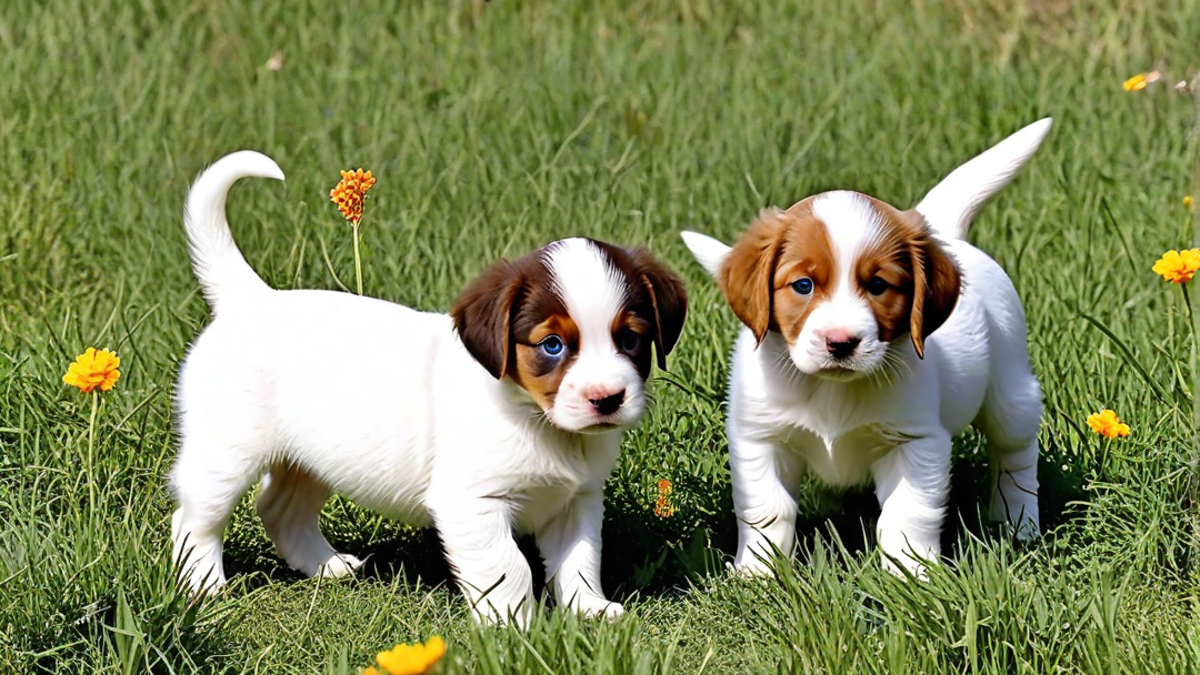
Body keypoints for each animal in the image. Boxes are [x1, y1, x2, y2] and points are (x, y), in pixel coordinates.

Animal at [174, 149, 691, 624]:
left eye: (630, 338)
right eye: (552, 345)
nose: (607, 399)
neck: (537, 420)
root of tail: (251, 298)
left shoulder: (577, 501)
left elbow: (579, 560)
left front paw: (591, 611)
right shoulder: (473, 503)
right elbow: (509, 569)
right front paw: (516, 628)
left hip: (311, 458)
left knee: (280, 509)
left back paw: (327, 567)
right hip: (225, 454)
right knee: (195, 519)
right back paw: (203, 585)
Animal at [686, 118, 1051, 576]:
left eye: (878, 285)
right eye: (803, 285)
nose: (841, 343)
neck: (831, 390)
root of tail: (948, 236)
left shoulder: (915, 442)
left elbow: (907, 516)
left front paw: (912, 575)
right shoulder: (761, 439)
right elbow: (767, 513)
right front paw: (757, 575)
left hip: (1010, 394)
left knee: (1016, 458)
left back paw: (1018, 524)